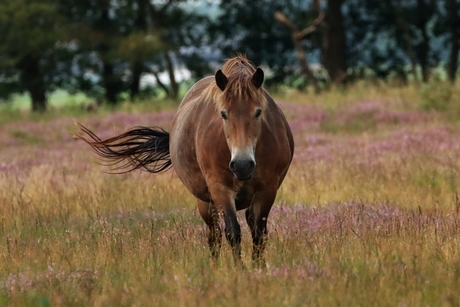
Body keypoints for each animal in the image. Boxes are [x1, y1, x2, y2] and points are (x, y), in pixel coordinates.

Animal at [73, 55, 292, 268]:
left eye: (258, 112)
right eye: (223, 114)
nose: (242, 165)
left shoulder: (267, 189)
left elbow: (259, 234)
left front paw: (258, 269)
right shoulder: (220, 188)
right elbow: (232, 231)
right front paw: (240, 271)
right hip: (206, 203)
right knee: (214, 235)